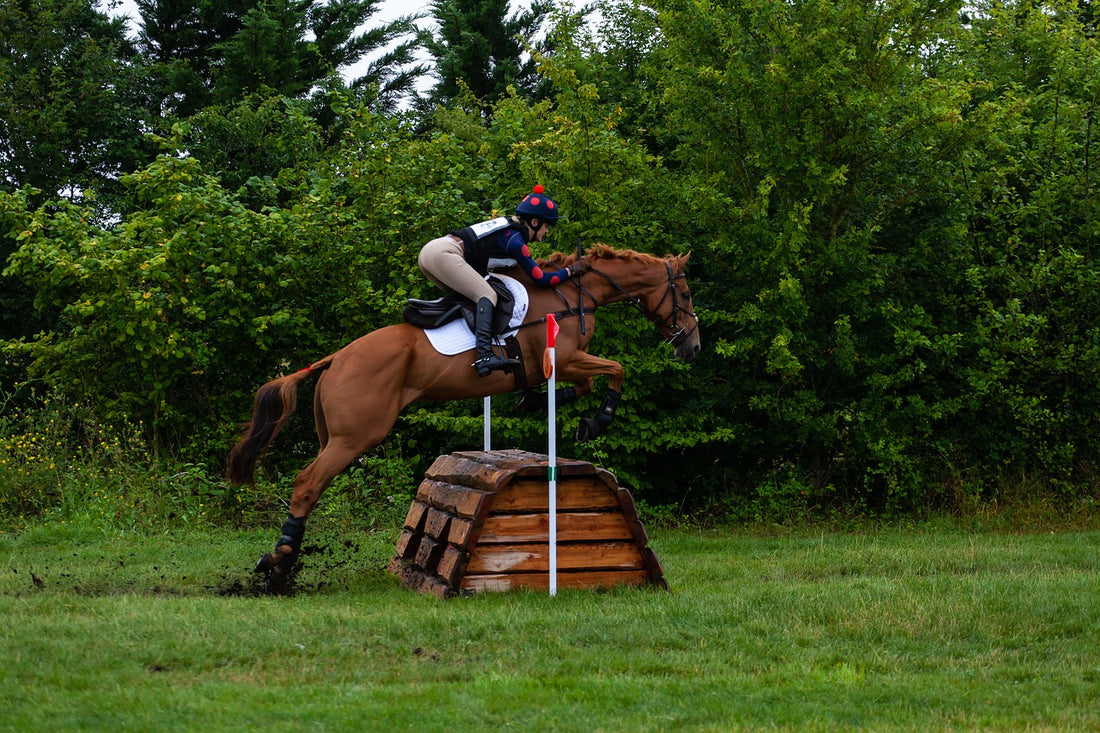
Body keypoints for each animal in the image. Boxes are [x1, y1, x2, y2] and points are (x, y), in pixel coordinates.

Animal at [227, 242, 699, 585]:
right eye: (686, 293)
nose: (691, 345)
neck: (570, 295)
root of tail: (335, 359)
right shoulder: (564, 359)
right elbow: (617, 369)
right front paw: (597, 421)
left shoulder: (565, 365)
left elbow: (587, 383)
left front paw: (539, 403)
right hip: (355, 437)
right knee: (308, 483)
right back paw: (279, 561)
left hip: (333, 435)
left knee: (313, 484)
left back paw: (284, 561)